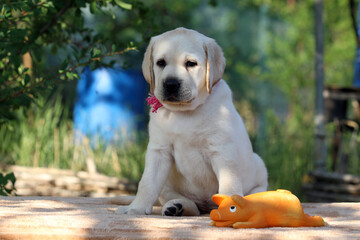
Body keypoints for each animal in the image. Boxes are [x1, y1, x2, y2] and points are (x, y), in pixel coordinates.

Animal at [116, 27, 268, 217]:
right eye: (160, 63)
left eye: (191, 63)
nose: (171, 84)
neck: (184, 112)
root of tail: (207, 207)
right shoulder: (158, 151)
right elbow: (147, 183)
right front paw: (136, 208)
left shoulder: (222, 150)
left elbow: (229, 183)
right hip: (167, 186)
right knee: (192, 208)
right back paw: (176, 207)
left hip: (259, 167)